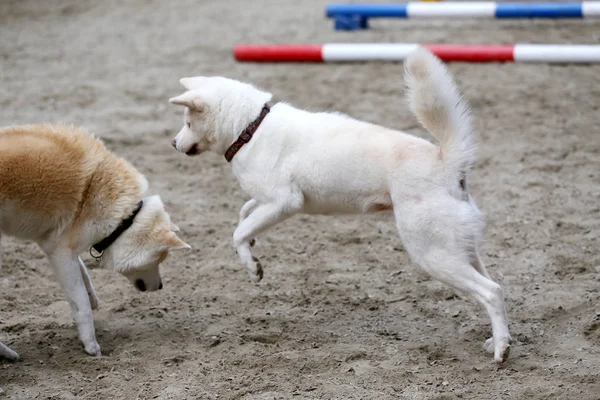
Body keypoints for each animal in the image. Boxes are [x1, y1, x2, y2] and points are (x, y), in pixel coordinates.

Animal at [0, 124, 190, 360]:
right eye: (158, 259)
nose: (161, 285)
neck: (125, 217)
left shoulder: (53, 244)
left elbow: (83, 274)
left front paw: (93, 298)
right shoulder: (60, 252)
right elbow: (80, 300)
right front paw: (91, 344)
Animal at [169, 48, 510, 360]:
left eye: (188, 122)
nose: (173, 143)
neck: (250, 129)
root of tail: (447, 164)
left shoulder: (284, 202)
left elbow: (237, 233)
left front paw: (253, 268)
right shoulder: (267, 200)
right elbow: (245, 213)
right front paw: (253, 243)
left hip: (432, 253)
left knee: (490, 292)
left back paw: (501, 351)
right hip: (461, 249)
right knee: (495, 287)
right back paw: (498, 339)